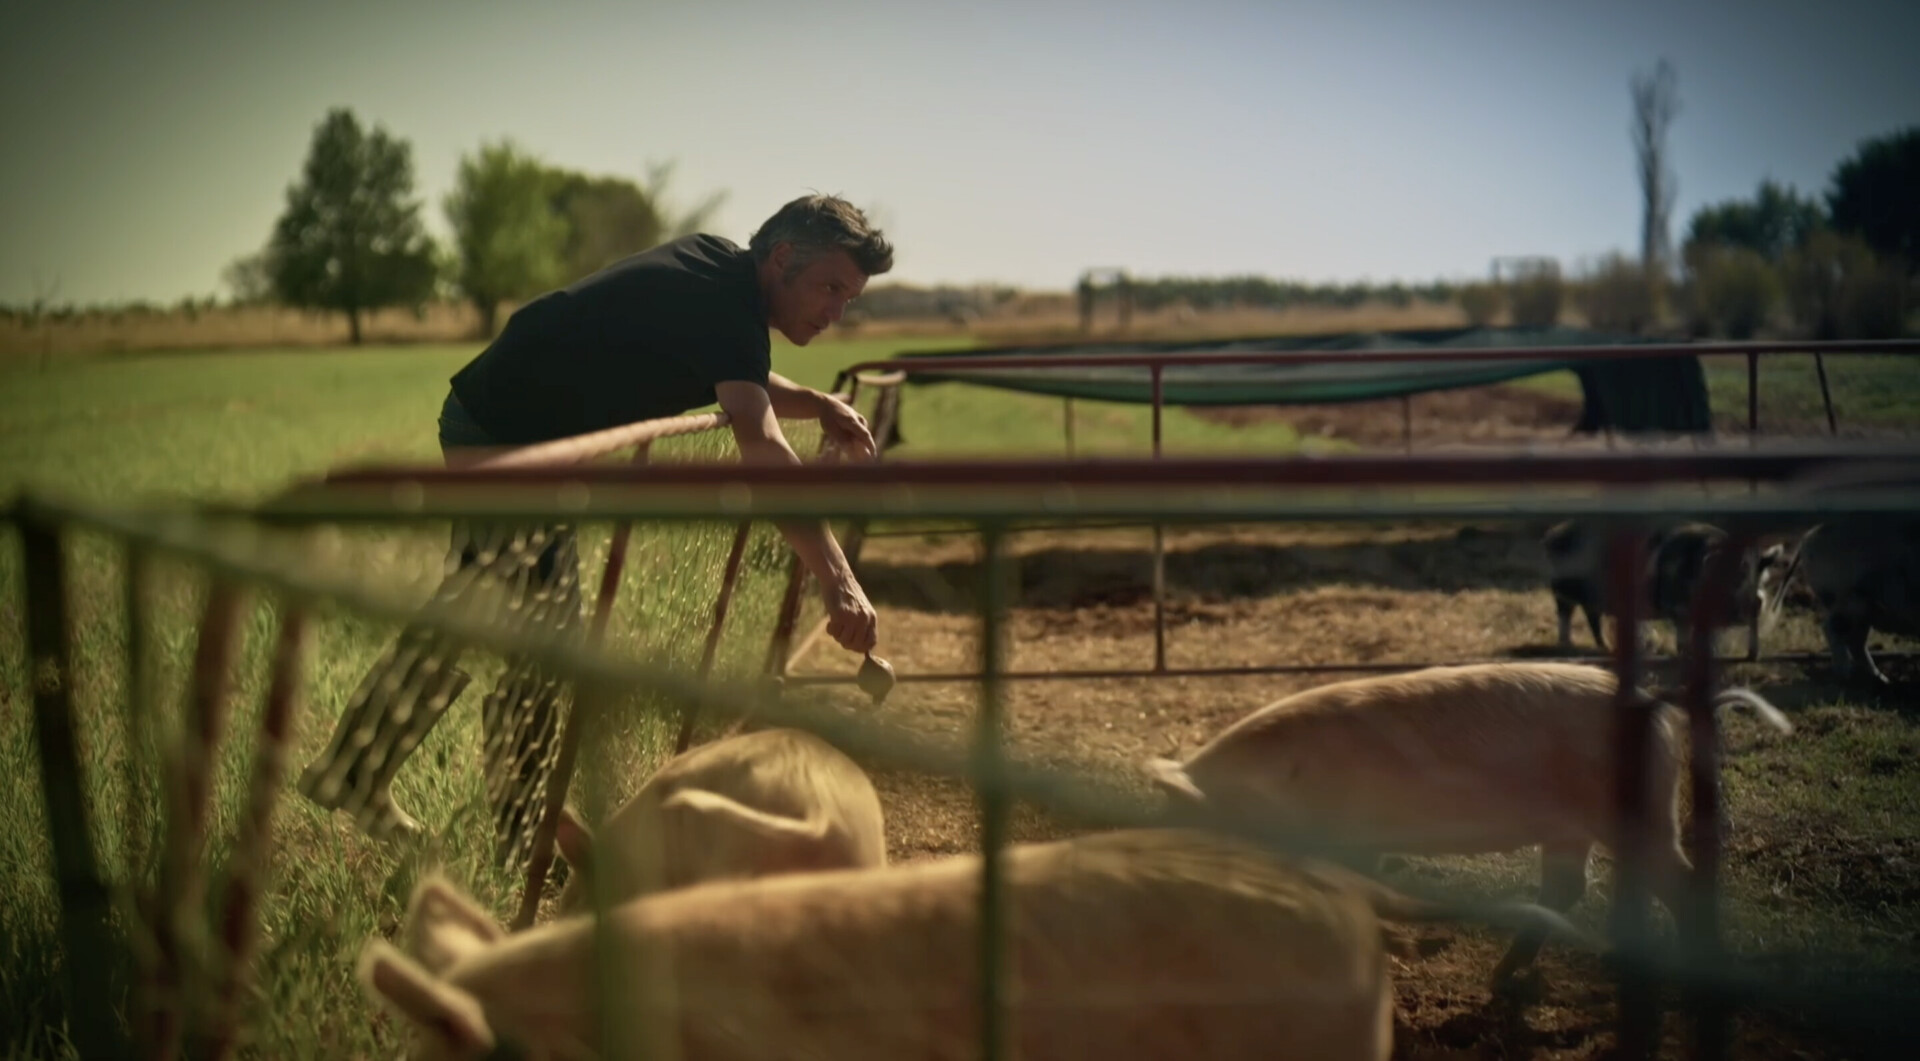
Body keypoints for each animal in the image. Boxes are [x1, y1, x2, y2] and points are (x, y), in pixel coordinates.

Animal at [1144, 661, 1791, 986]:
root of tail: (1660, 704)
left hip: (1640, 816)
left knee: (1680, 883)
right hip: (1573, 828)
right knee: (1569, 887)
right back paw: (1506, 977)